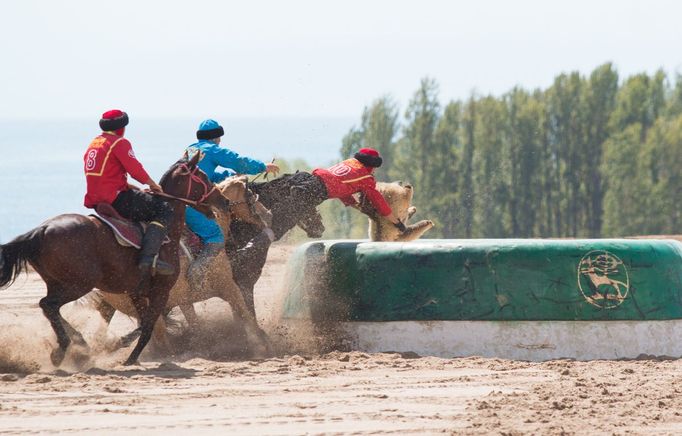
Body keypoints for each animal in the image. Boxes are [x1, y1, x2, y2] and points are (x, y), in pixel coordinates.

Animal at [0, 152, 228, 366]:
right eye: (202, 176)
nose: (223, 200)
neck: (169, 234)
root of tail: (42, 230)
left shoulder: (137, 293)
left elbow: (146, 325)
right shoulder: (160, 291)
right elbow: (148, 326)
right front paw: (131, 357)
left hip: (58, 283)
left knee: (49, 307)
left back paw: (78, 343)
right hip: (78, 284)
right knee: (48, 305)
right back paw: (65, 348)